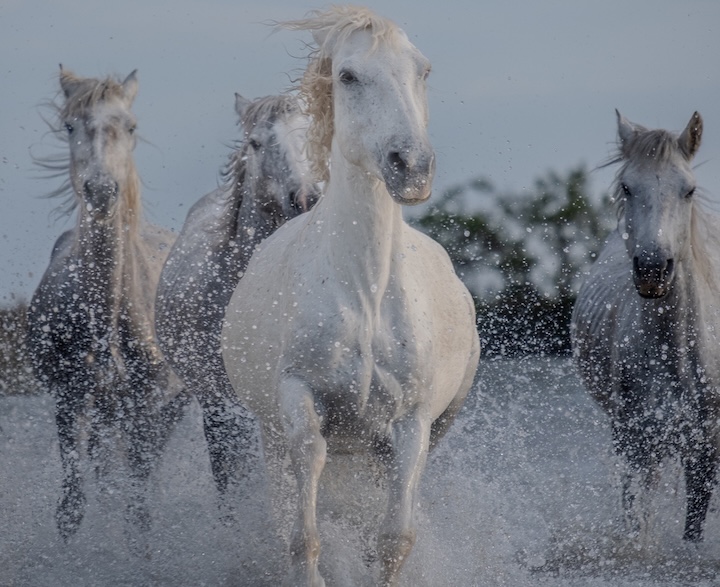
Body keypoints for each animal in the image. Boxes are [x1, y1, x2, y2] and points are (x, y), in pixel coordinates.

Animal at [26, 67, 187, 544]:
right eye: (69, 126)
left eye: (131, 127)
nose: (101, 189)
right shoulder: (68, 397)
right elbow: (72, 507)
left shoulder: (149, 407)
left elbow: (138, 509)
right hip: (104, 410)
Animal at [221, 7, 480, 586]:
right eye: (347, 76)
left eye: (423, 70)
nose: (412, 166)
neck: (366, 293)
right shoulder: (298, 400)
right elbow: (304, 535)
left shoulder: (412, 424)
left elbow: (393, 539)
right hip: (272, 434)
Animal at [572, 110, 720, 542]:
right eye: (627, 187)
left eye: (688, 190)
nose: (653, 269)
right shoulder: (637, 444)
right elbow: (636, 525)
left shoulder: (704, 453)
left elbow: (692, 532)